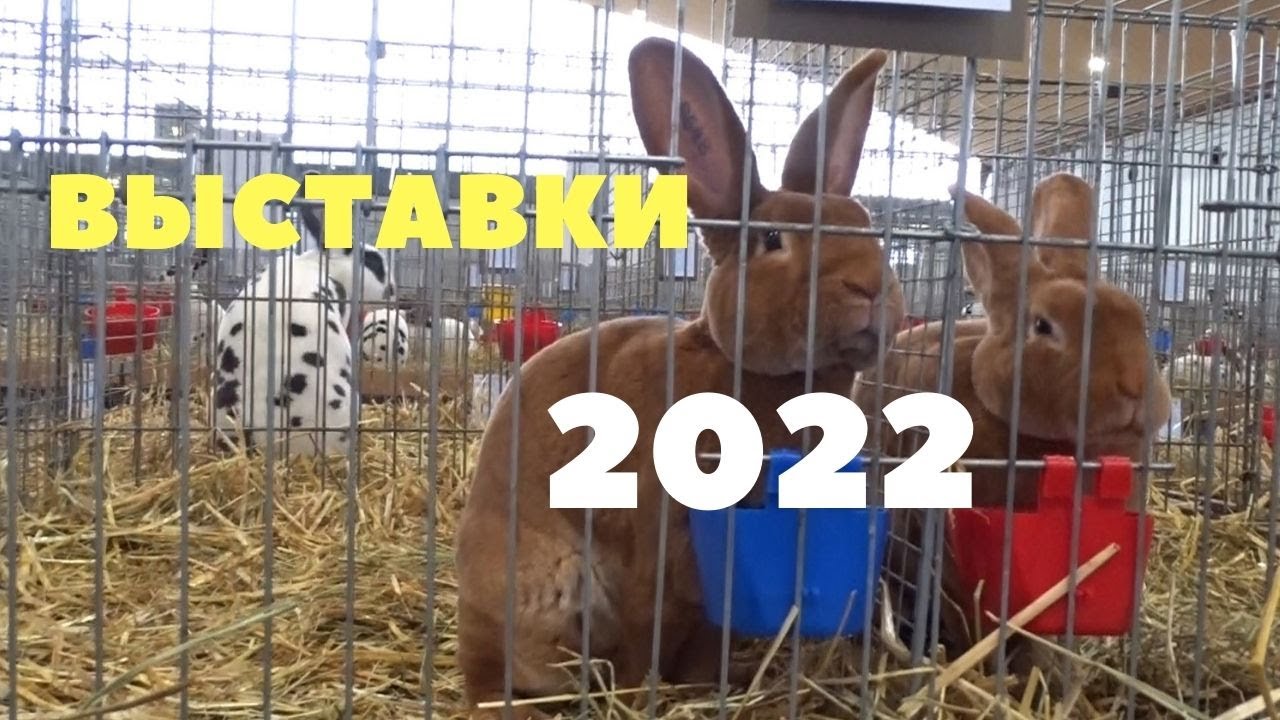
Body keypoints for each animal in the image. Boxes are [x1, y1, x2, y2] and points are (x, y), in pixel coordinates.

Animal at [453, 37, 904, 719]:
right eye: (773, 239)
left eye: (867, 224)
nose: (871, 286)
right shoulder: (656, 553)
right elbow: (646, 634)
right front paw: (647, 695)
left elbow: (700, 649)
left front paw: (706, 687)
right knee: (496, 674)